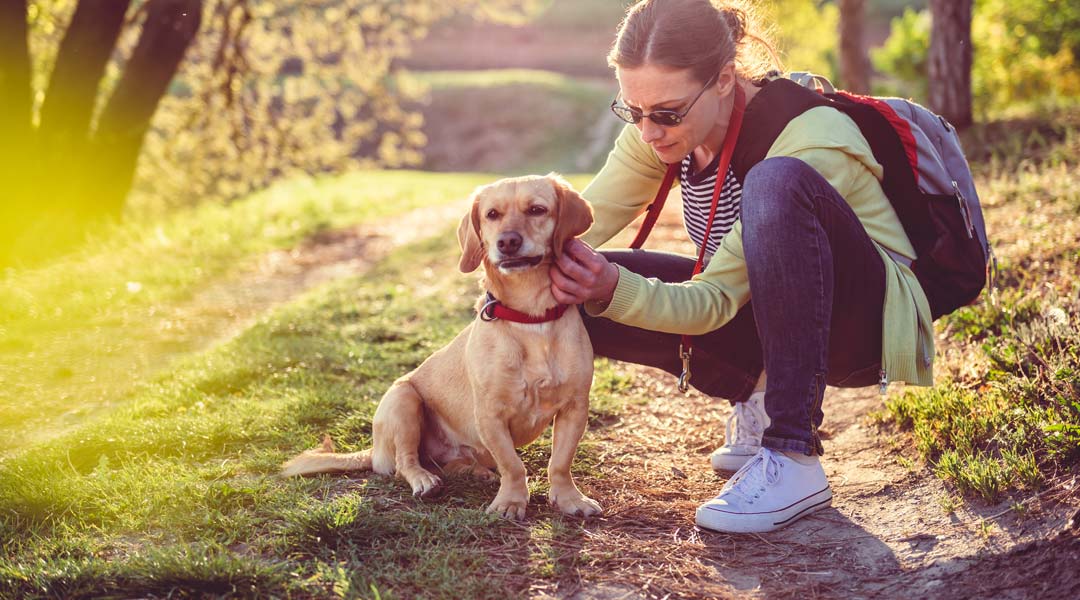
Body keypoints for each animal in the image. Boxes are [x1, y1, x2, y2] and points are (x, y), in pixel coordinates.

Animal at [282, 174, 604, 520]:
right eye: (492, 215)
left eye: (537, 210)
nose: (507, 242)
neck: (530, 318)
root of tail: (374, 450)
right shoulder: (490, 415)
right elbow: (513, 466)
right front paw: (511, 502)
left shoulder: (574, 408)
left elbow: (559, 462)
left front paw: (569, 498)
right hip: (404, 399)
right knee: (405, 463)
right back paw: (425, 480)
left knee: (453, 464)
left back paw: (474, 472)